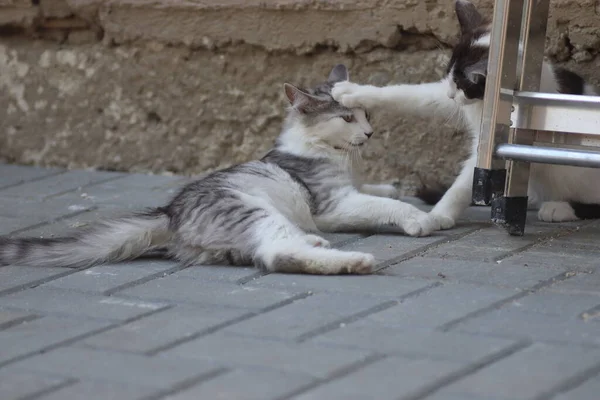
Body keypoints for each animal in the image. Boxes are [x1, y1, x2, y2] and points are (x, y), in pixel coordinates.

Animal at [0, 65, 440, 276]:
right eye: (347, 118)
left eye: (367, 114)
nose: (369, 133)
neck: (332, 154)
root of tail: (170, 213)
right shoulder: (334, 205)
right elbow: (385, 206)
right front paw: (421, 218)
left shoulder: (354, 188)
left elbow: (382, 192)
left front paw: (398, 188)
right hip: (253, 211)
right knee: (275, 255)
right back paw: (354, 261)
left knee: (270, 251)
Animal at [332, 0, 600, 230]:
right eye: (450, 75)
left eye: (463, 84)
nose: (451, 94)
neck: (484, 103)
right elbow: (409, 95)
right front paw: (351, 92)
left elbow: (467, 181)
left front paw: (438, 215)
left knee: (591, 202)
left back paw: (559, 208)